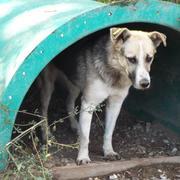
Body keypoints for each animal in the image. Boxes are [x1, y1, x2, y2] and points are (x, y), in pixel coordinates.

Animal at [37, 27, 166, 165]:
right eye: (131, 59)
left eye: (149, 58)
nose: (145, 83)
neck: (114, 72)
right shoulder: (88, 104)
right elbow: (85, 137)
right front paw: (83, 157)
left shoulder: (115, 104)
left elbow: (109, 132)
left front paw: (108, 151)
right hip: (48, 85)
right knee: (43, 111)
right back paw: (46, 135)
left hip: (75, 84)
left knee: (68, 102)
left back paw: (75, 125)